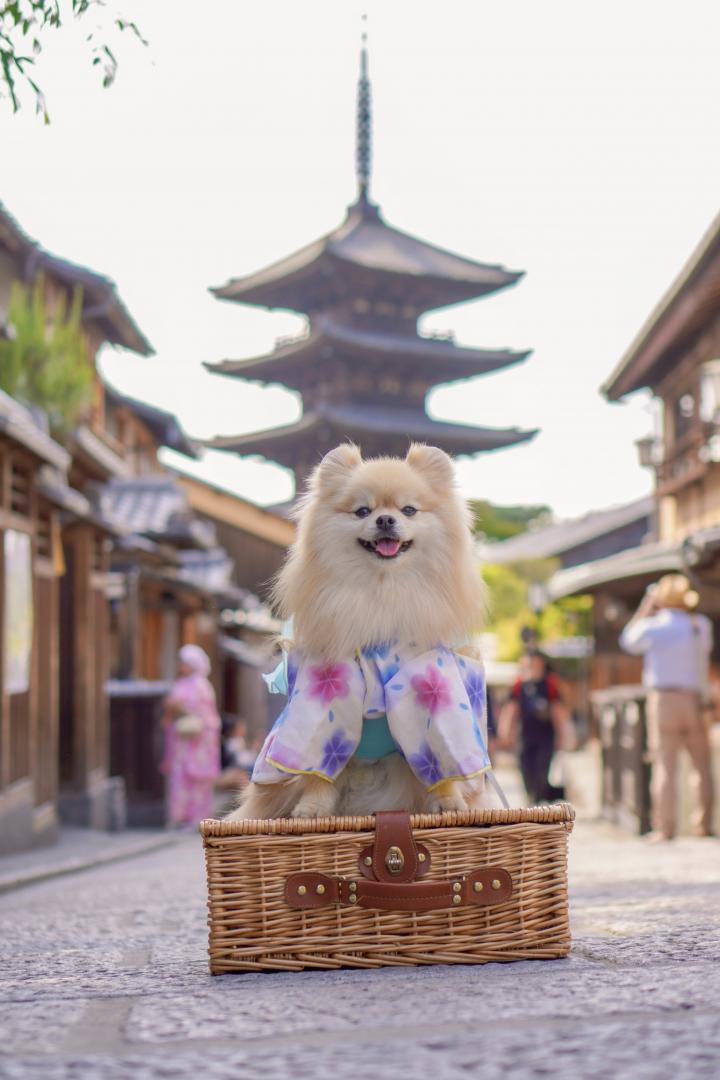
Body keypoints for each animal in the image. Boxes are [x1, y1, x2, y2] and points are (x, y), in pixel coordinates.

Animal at [229, 438, 490, 816]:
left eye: (409, 510)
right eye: (362, 511)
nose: (385, 519)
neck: (380, 592)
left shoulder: (432, 680)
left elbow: (442, 760)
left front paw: (448, 803)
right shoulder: (325, 687)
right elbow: (318, 771)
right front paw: (312, 809)